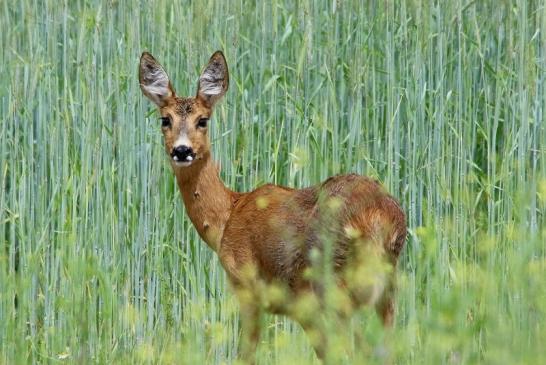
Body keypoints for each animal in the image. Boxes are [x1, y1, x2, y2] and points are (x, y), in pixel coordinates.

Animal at [138, 49, 406, 362]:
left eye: (203, 120)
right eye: (164, 119)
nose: (182, 150)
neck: (227, 215)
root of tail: (378, 216)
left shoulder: (247, 286)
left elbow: (245, 354)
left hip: (333, 287)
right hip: (385, 289)